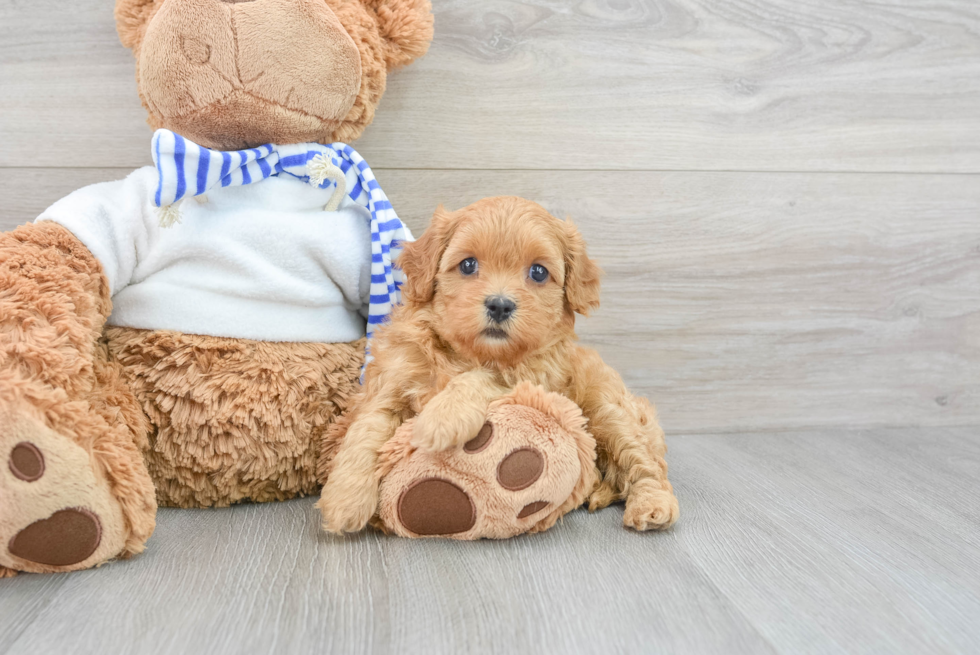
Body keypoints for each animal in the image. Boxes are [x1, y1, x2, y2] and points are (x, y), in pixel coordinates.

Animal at [318, 197, 676, 536]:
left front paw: (442, 417)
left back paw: (652, 505)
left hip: (610, 411)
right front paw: (344, 499)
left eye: (538, 272)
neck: (470, 353)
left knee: (645, 464)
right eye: (468, 265)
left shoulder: (535, 375)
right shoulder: (392, 382)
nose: (500, 305)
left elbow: (485, 377)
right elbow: (366, 432)